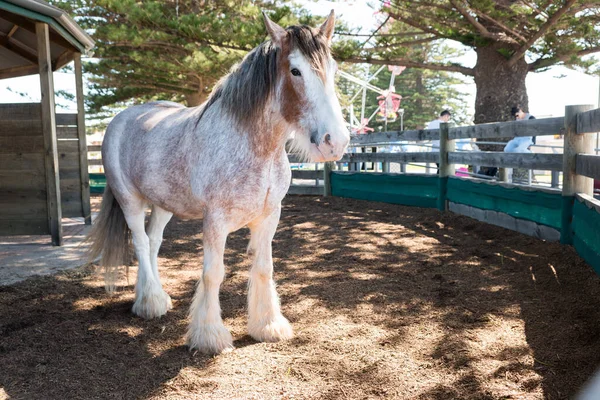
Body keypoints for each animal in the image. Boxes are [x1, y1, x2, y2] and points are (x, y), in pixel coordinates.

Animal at [88, 10, 352, 354]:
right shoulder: (215, 220)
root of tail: (121, 119)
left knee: (154, 242)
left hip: (163, 204)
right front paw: (210, 335)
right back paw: (151, 302)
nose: (335, 142)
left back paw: (153, 294)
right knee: (142, 243)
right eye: (295, 70)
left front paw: (268, 325)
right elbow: (213, 274)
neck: (254, 147)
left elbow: (264, 267)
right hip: (129, 200)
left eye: (333, 70)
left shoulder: (270, 217)